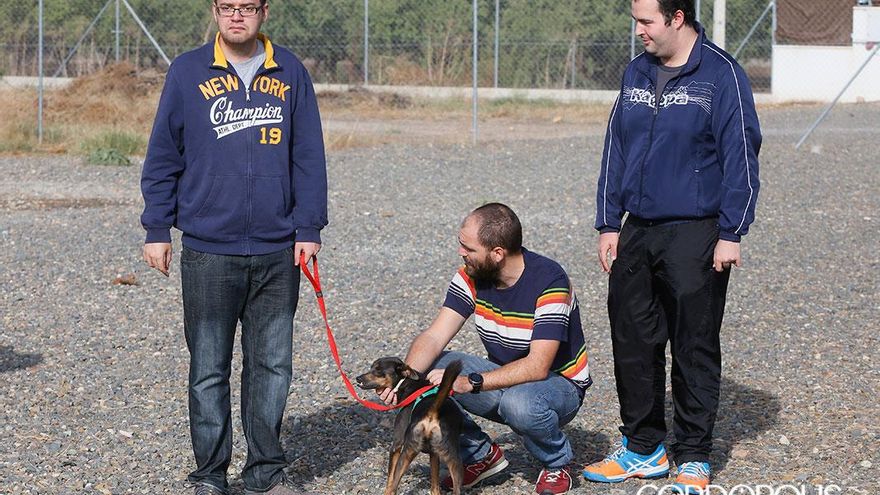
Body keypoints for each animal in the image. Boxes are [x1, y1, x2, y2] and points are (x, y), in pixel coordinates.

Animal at [356, 357, 464, 495]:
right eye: (371, 368)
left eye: (379, 370)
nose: (358, 378)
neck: (407, 383)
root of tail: (432, 411)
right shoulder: (434, 454)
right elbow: (434, 485)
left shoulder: (396, 445)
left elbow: (389, 480)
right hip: (455, 461)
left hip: (406, 453)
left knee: (394, 486)